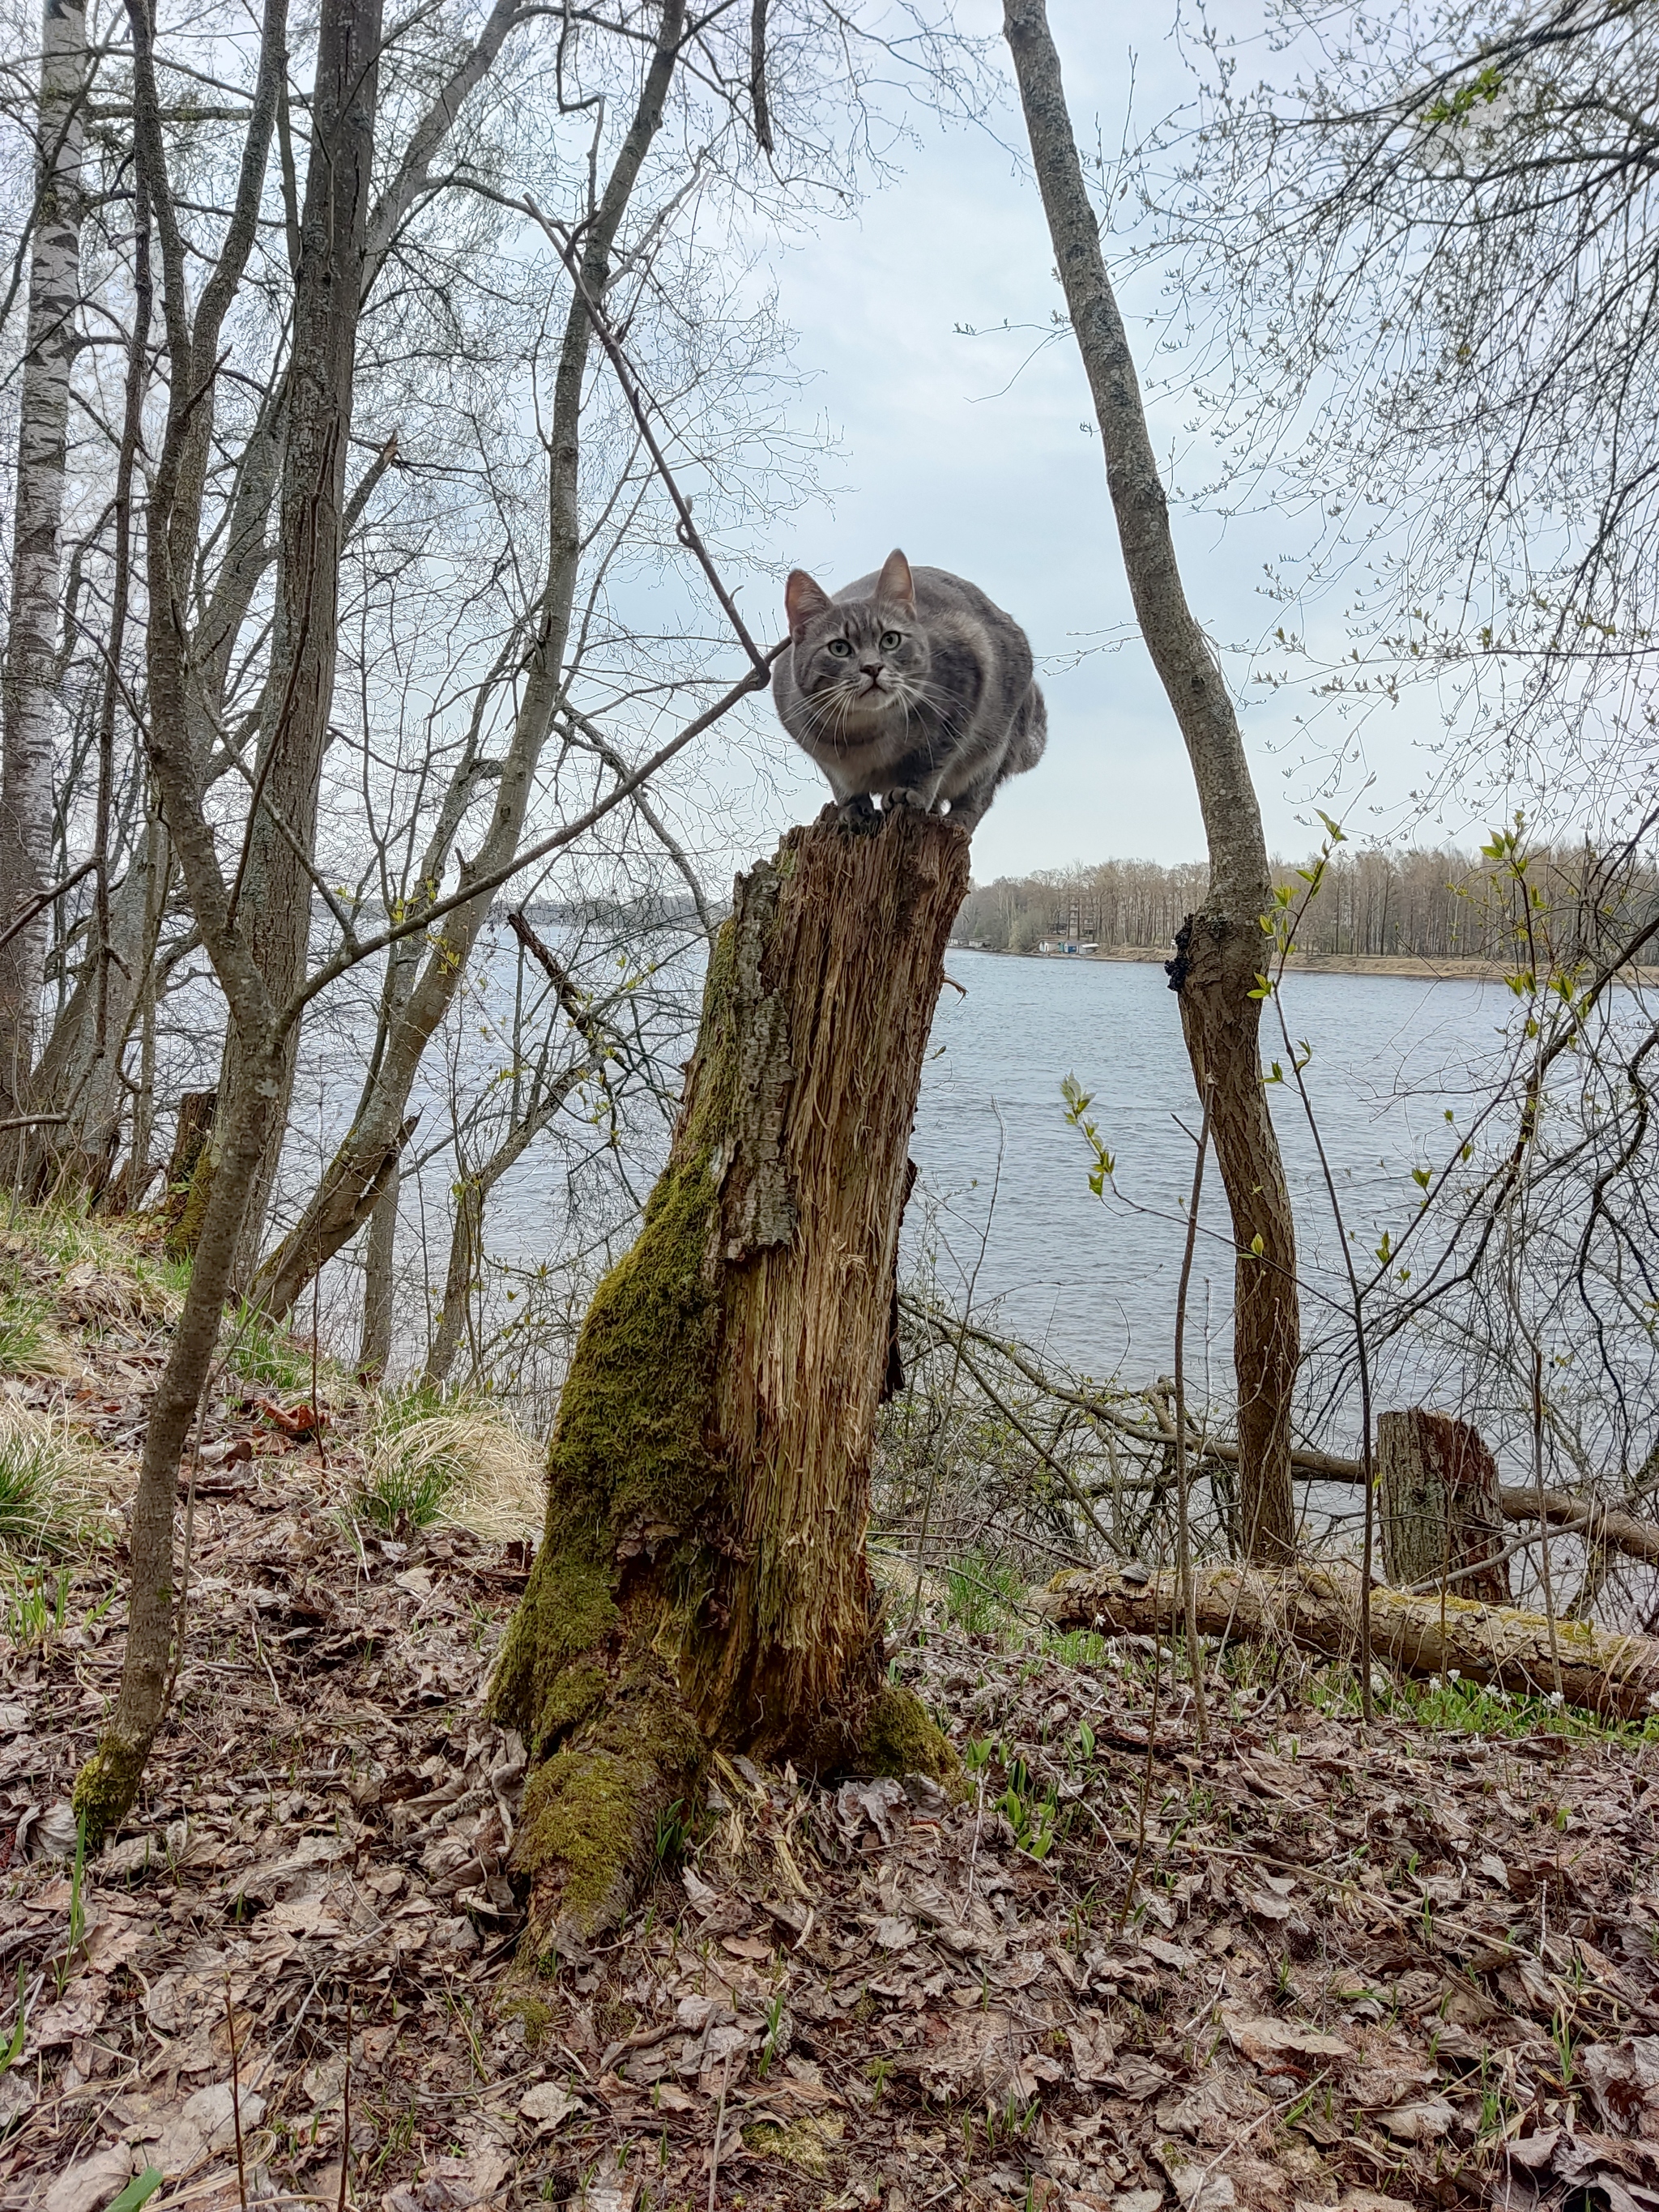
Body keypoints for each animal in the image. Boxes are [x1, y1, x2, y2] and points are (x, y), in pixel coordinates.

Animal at [774, 548, 1043, 831]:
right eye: (839, 647)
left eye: (890, 640)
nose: (872, 667)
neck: (863, 735)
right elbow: (838, 779)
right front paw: (853, 805)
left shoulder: (965, 690)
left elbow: (931, 759)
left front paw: (910, 791)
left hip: (995, 745)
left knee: (979, 795)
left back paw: (958, 819)